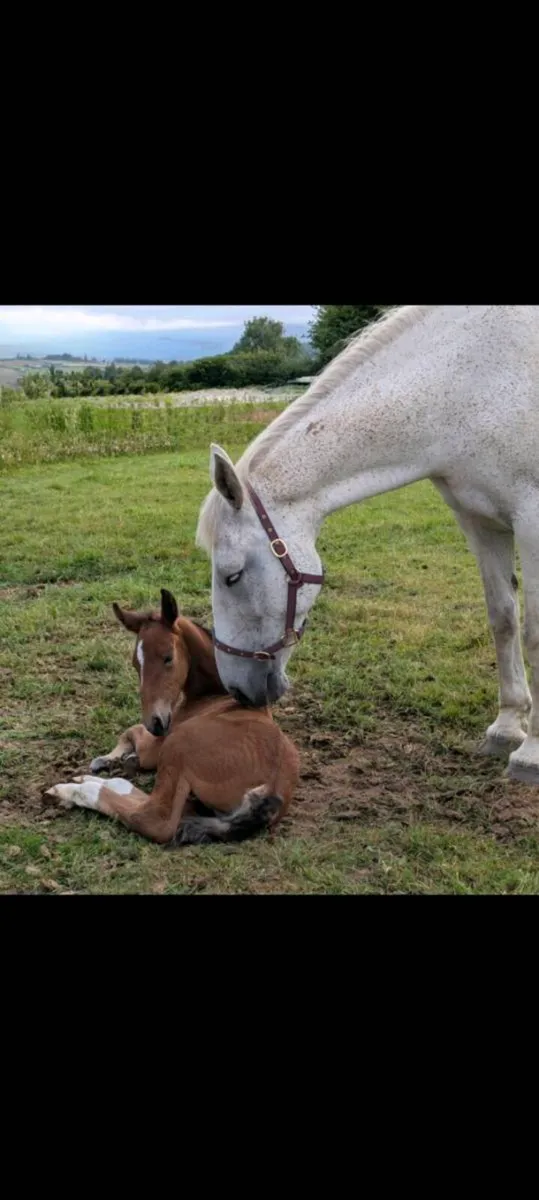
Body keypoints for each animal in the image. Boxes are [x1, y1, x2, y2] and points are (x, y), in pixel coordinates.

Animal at [45, 589, 300, 845]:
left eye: (168, 657)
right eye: (135, 663)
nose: (155, 723)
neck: (218, 697)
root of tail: (271, 789)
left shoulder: (156, 747)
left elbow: (132, 731)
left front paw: (108, 758)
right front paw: (114, 759)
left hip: (176, 747)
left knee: (154, 819)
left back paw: (72, 789)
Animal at [196, 305, 539, 788]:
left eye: (233, 575)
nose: (238, 690)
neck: (470, 382)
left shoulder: (531, 520)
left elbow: (533, 634)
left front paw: (532, 754)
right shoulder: (480, 522)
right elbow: (503, 619)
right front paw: (507, 727)